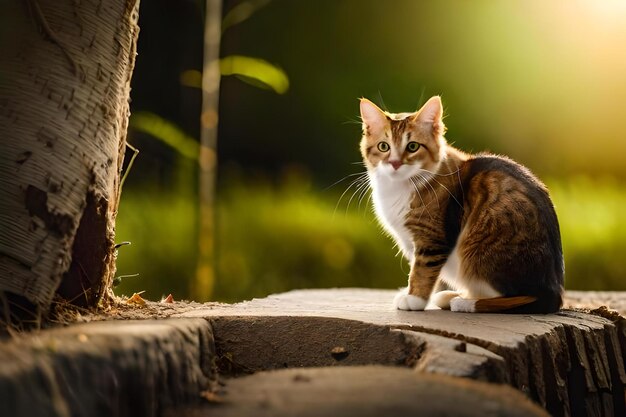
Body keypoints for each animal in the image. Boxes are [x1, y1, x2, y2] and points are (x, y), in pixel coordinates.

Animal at [358, 96, 564, 312]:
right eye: (384, 146)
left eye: (413, 146)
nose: (395, 163)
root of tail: (553, 292)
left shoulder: (432, 240)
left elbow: (422, 270)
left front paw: (414, 298)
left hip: (479, 253)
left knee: (510, 296)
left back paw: (465, 302)